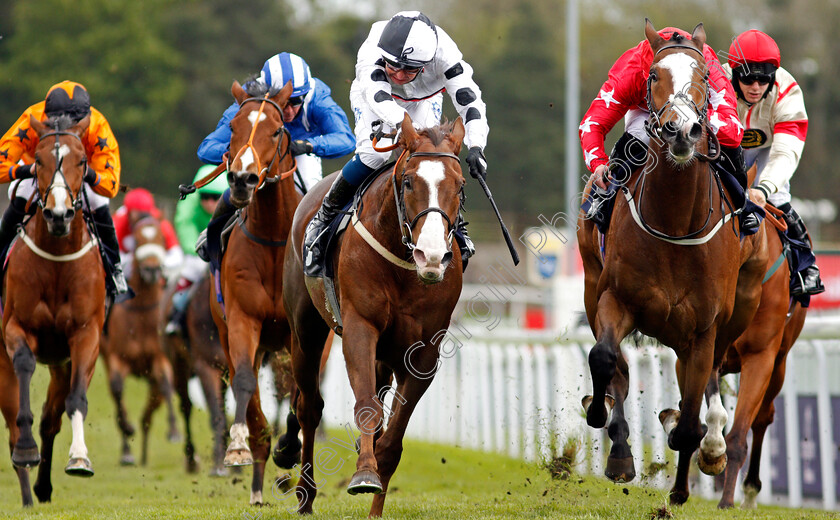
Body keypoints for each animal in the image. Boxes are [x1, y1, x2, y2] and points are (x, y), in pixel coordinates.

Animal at [0, 112, 106, 504]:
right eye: (39, 160)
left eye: (82, 161)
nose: (58, 215)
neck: (58, 260)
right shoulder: (16, 327)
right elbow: (25, 364)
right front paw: (27, 450)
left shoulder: (86, 336)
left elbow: (76, 400)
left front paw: (79, 458)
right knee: (14, 424)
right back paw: (28, 488)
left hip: (61, 364)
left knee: (51, 418)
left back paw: (42, 488)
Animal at [101, 213, 180, 466]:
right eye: (136, 240)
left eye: (161, 238)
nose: (152, 270)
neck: (143, 313)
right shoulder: (116, 358)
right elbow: (117, 390)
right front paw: (127, 430)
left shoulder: (160, 359)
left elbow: (166, 384)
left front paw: (173, 430)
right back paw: (128, 452)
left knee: (149, 411)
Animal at [282, 111, 466, 512]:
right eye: (409, 181)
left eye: (460, 186)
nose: (431, 256)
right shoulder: (359, 328)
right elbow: (367, 405)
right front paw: (365, 473)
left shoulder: (425, 351)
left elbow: (394, 433)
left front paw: (377, 493)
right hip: (305, 333)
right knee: (309, 407)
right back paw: (305, 494)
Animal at [576, 21, 768, 500]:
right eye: (653, 76)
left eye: (705, 77)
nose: (682, 130)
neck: (676, 222)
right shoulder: (615, 300)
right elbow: (605, 359)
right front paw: (606, 429)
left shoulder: (702, 329)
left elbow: (690, 419)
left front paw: (685, 479)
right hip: (591, 285)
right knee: (621, 368)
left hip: (737, 312)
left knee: (706, 387)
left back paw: (709, 449)